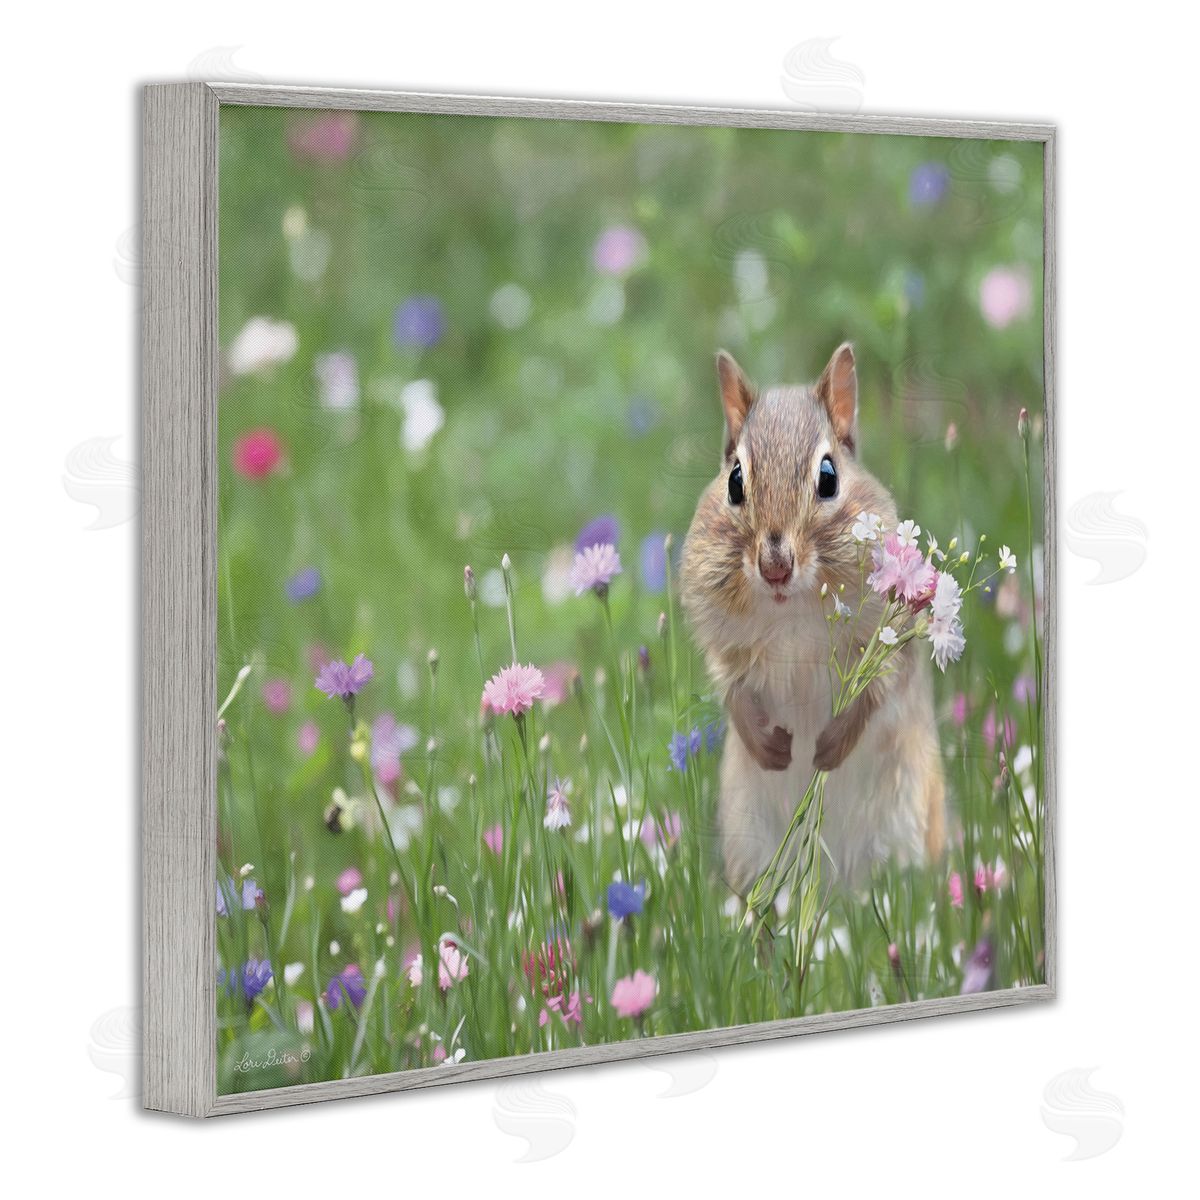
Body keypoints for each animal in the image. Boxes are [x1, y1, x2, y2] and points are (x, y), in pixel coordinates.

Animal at [680, 343, 945, 895]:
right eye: (734, 481)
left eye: (829, 477)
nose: (775, 566)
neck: (792, 612)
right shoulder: (722, 640)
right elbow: (731, 687)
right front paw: (770, 748)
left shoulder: (888, 641)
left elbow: (877, 691)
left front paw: (828, 748)